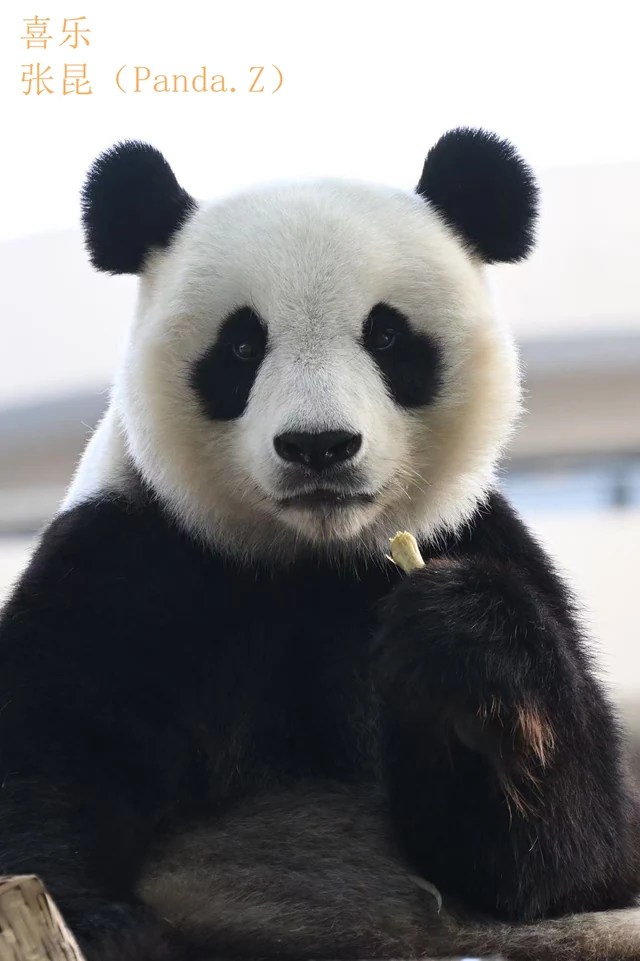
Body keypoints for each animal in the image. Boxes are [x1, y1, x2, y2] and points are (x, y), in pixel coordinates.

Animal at [1, 127, 640, 961]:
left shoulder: (477, 537)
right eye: (242, 346)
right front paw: (103, 923)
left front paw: (462, 645)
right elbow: (48, 753)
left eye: (387, 335)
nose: (318, 446)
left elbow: (568, 863)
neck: (307, 557)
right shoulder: (126, 555)